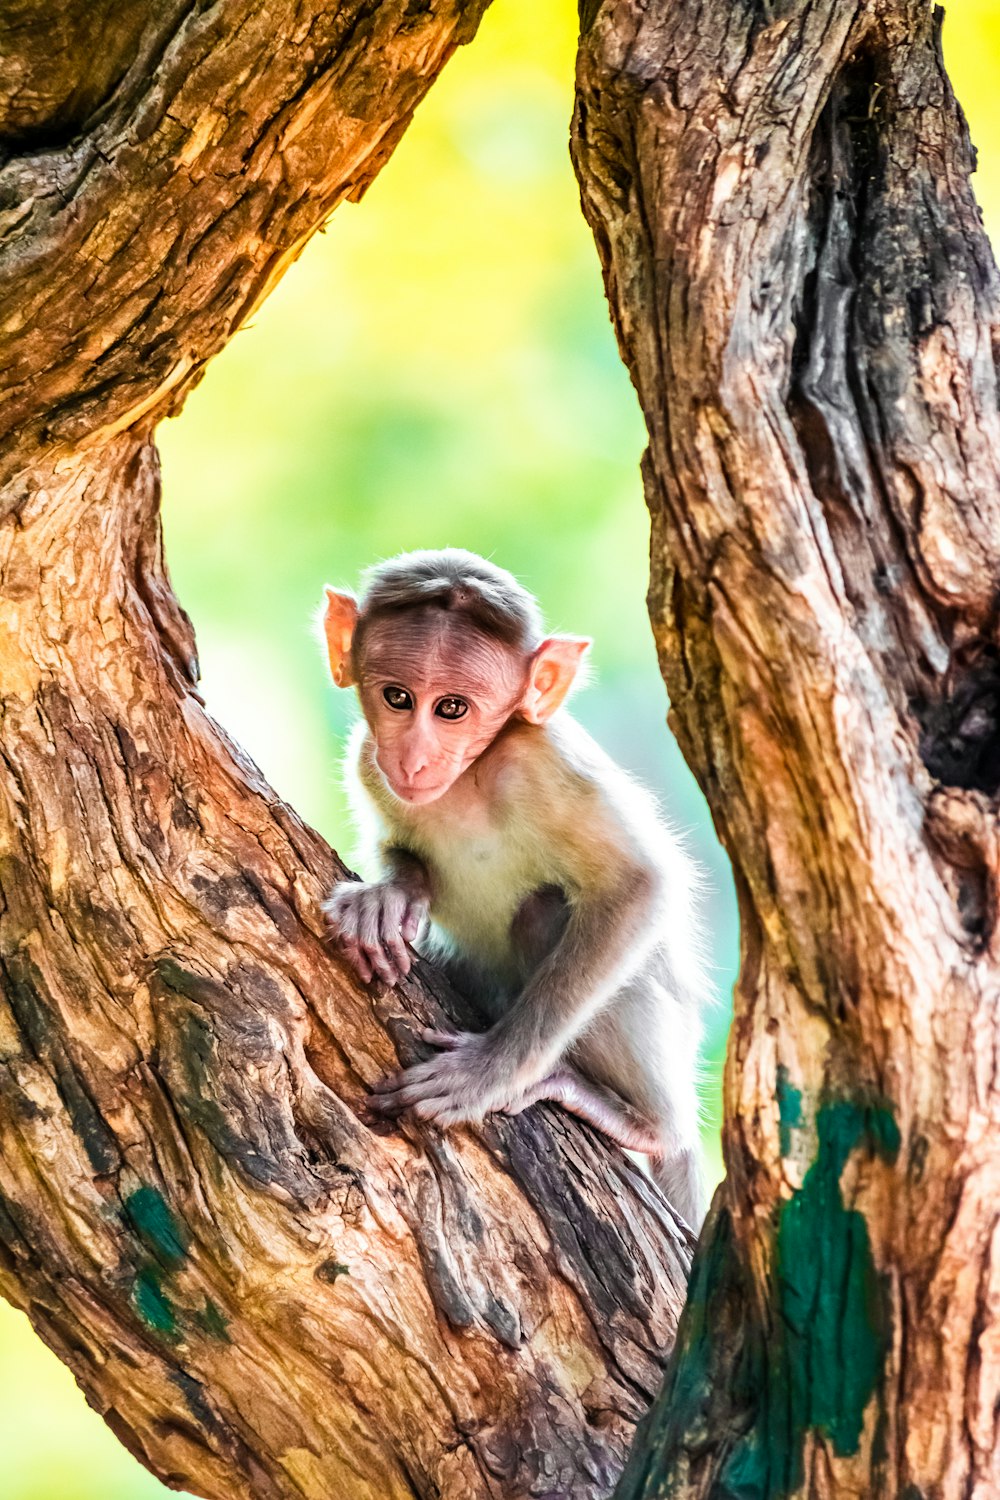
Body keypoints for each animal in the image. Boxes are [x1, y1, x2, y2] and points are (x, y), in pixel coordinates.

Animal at [322, 546, 710, 1224]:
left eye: (452, 708)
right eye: (398, 697)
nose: (414, 758)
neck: (471, 777)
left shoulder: (545, 763)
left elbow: (642, 884)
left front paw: (490, 1073)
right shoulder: (369, 759)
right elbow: (398, 846)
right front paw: (389, 897)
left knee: (545, 912)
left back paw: (651, 1128)